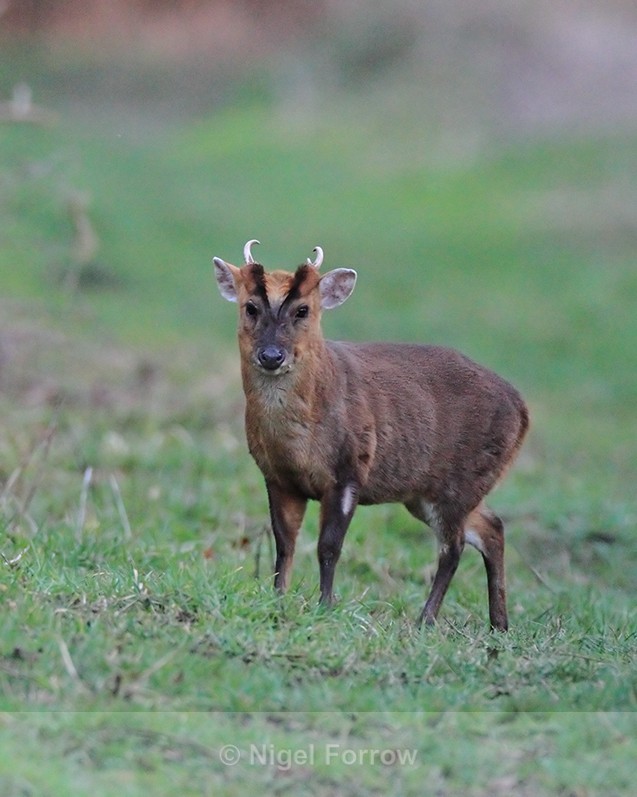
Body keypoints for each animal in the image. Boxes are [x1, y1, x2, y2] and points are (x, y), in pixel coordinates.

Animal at [212, 240, 529, 630]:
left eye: (303, 310)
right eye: (250, 307)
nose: (272, 355)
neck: (298, 442)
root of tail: (523, 411)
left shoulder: (349, 469)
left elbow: (329, 546)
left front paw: (325, 606)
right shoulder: (277, 477)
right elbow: (284, 544)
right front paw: (279, 600)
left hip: (462, 481)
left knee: (453, 548)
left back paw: (426, 619)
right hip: (427, 492)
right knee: (491, 527)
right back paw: (499, 623)